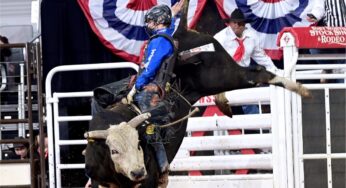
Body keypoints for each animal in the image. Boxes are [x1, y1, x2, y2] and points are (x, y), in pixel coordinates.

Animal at [84, 0, 310, 187]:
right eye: (114, 150)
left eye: (139, 144)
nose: (138, 172)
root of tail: (182, 31)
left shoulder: (149, 180)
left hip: (223, 74)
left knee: (258, 73)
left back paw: (300, 89)